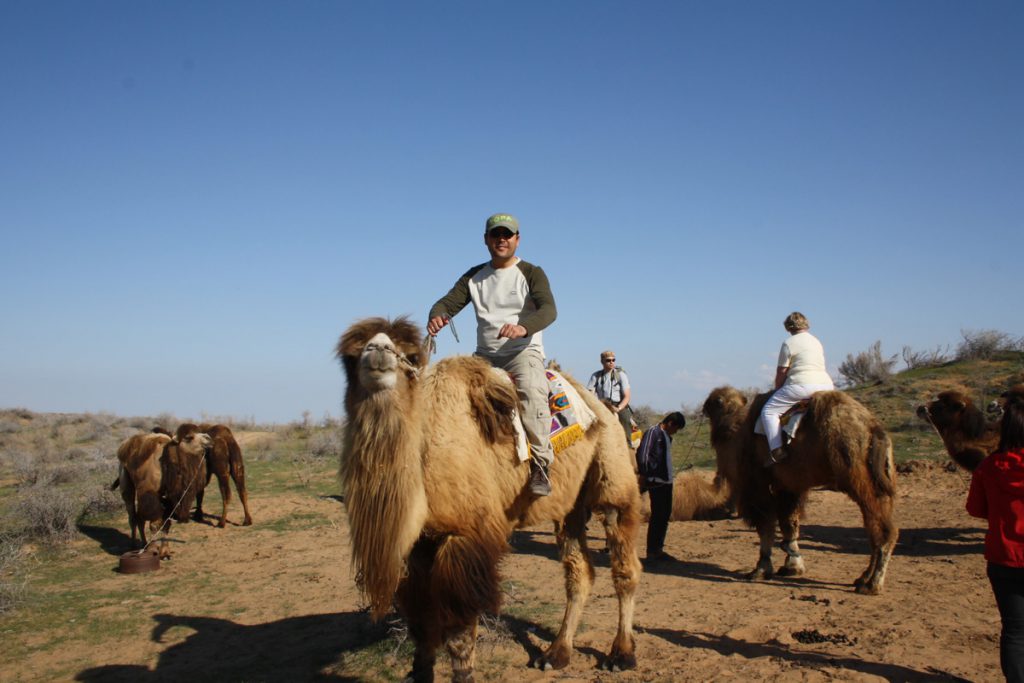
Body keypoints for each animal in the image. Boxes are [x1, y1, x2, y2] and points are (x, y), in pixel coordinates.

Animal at [335, 319, 638, 683]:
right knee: (579, 571)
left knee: (624, 565)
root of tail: (599, 407)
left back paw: (621, 654)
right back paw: (556, 654)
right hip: (571, 505)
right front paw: (420, 671)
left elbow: (459, 628)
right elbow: (421, 622)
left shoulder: (465, 535)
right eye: (350, 357)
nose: (378, 350)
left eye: (410, 355)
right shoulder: (418, 544)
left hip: (612, 470)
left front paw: (464, 674)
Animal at [704, 387, 897, 593]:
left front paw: (760, 570)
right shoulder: (789, 486)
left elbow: (765, 525)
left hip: (856, 474)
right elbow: (790, 523)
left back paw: (873, 584)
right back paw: (863, 578)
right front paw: (793, 567)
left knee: (882, 529)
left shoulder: (759, 484)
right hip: (879, 479)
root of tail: (874, 429)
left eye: (714, 402)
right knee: (875, 525)